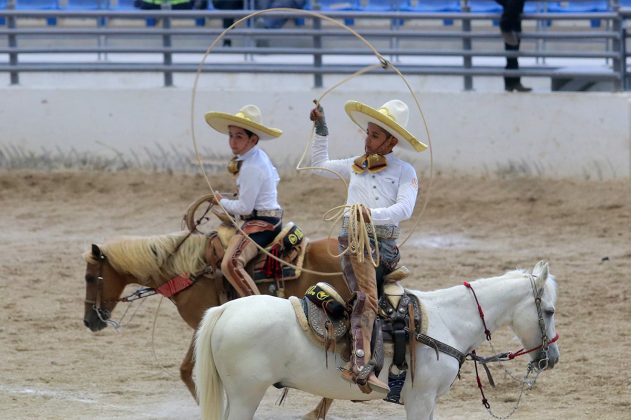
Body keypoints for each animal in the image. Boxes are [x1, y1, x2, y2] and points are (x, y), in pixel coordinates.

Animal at [82, 230, 348, 414]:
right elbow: (185, 369)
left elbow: (187, 369)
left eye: (89, 277)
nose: (89, 321)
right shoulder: (201, 328)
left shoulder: (200, 324)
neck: (190, 273)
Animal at [195, 260, 560, 418]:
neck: (446, 321)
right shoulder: (420, 400)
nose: (551, 359)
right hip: (246, 395)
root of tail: (225, 310)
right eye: (550, 310)